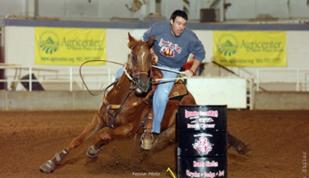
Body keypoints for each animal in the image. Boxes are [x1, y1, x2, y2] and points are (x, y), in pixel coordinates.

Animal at [39, 32, 248, 173]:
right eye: (132, 55)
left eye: (149, 57)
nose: (142, 84)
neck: (125, 98)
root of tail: (192, 100)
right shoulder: (99, 118)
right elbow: (78, 139)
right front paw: (50, 163)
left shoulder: (128, 129)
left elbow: (104, 135)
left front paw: (92, 151)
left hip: (169, 132)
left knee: (153, 146)